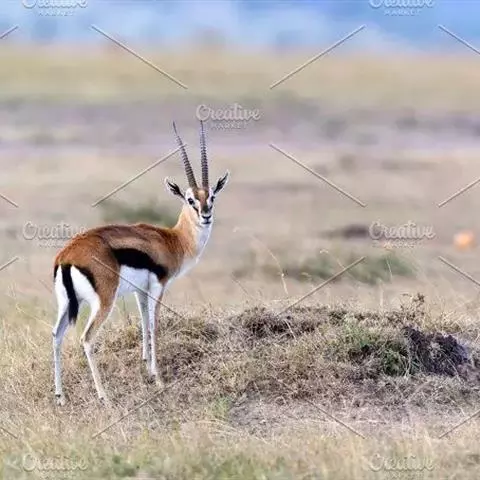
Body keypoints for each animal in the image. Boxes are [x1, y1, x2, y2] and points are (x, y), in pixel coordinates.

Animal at [52, 121, 229, 405]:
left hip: (68, 303)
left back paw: (61, 396)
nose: (206, 215)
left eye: (211, 196)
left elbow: (144, 323)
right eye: (190, 199)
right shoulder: (159, 286)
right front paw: (158, 378)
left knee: (56, 336)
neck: (173, 240)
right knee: (86, 339)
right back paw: (104, 396)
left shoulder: (140, 291)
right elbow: (154, 325)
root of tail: (67, 256)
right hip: (103, 303)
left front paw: (146, 368)